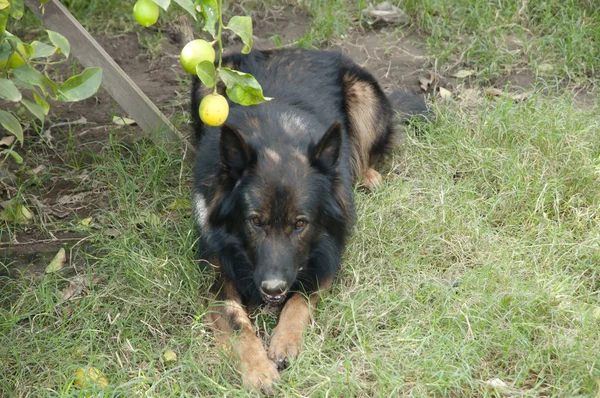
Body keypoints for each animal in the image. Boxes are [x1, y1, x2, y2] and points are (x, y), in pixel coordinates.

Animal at [192, 48, 426, 394]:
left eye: (300, 224)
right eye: (255, 221)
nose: (273, 288)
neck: (276, 139)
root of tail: (301, 49)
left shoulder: (326, 257)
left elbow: (299, 301)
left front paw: (285, 340)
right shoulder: (219, 273)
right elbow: (237, 325)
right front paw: (258, 370)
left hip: (364, 97)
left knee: (365, 153)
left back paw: (368, 175)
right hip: (207, 82)